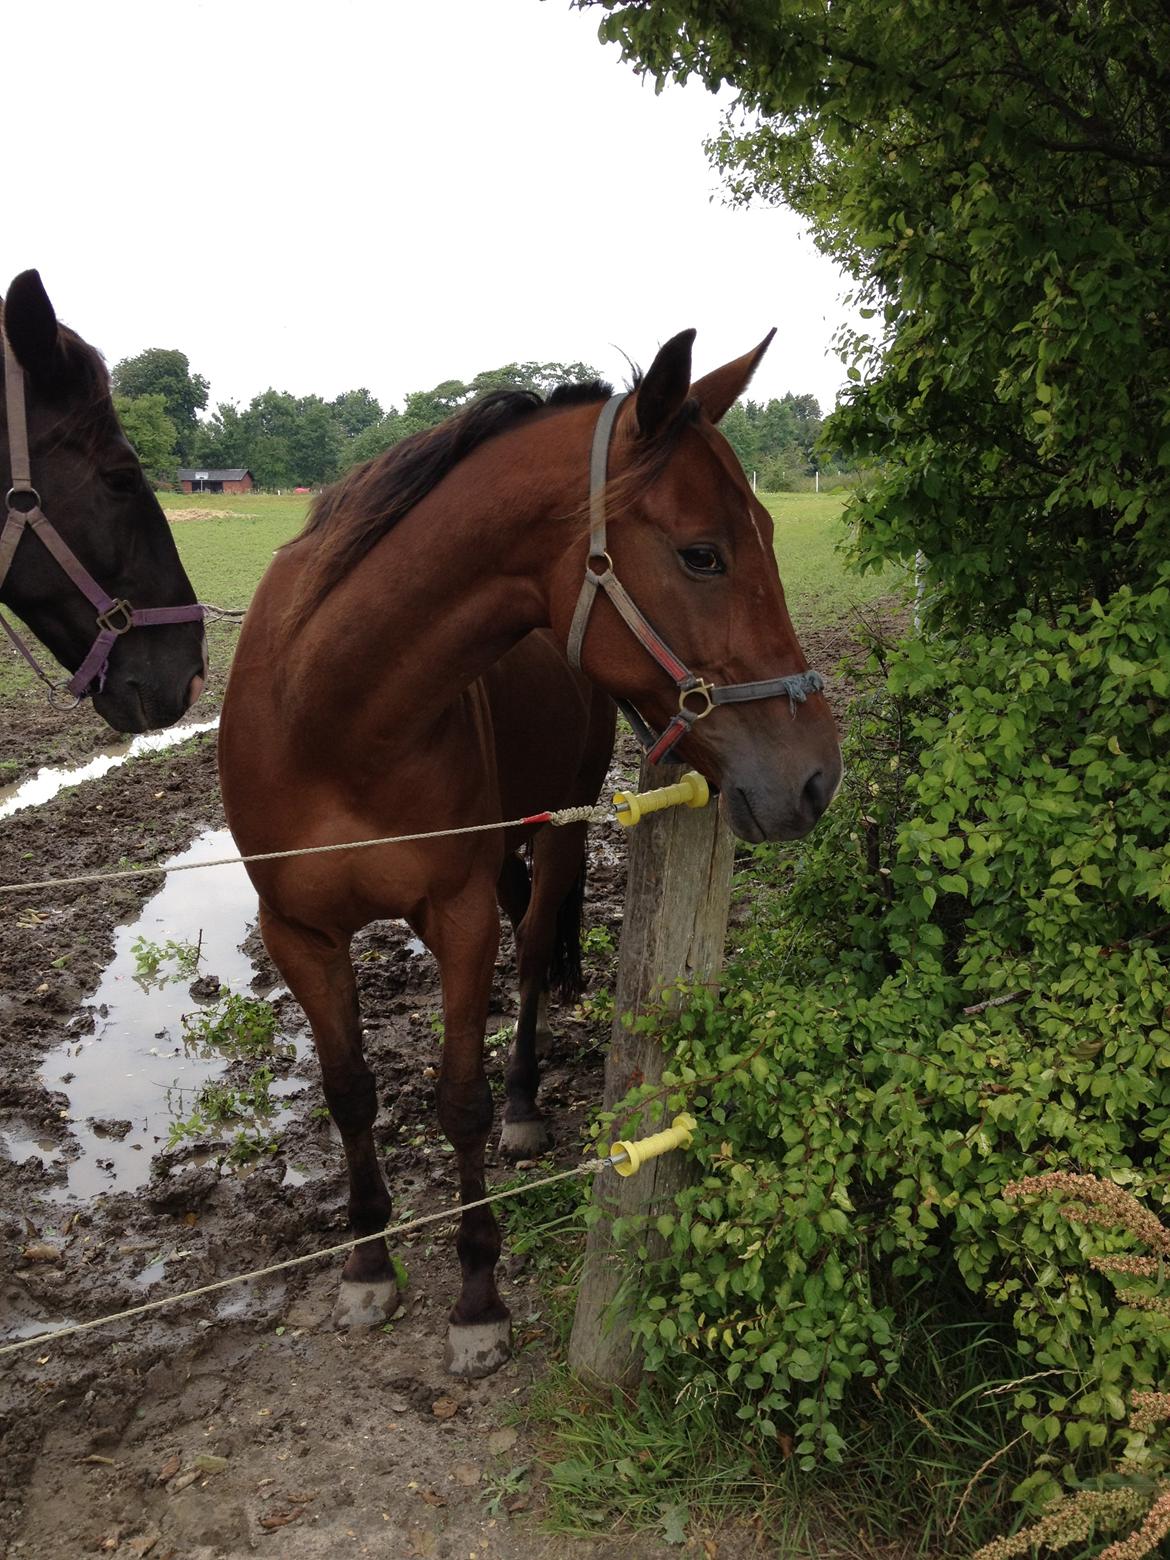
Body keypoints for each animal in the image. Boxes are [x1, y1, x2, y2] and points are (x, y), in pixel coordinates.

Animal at [218, 328, 843, 1378]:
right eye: (704, 554)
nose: (815, 778)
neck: (330, 715)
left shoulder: (459, 916)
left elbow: (461, 1099)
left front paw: (477, 1299)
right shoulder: (299, 932)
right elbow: (350, 1095)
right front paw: (368, 1264)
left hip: (559, 833)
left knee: (534, 947)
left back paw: (524, 1104)